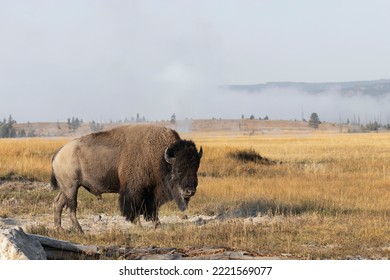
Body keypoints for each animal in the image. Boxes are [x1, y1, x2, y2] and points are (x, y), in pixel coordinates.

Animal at [50, 124, 203, 232]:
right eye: (178, 170)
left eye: (196, 168)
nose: (190, 191)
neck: (160, 158)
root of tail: (59, 152)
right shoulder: (135, 190)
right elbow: (135, 207)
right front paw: (139, 225)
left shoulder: (151, 192)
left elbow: (152, 209)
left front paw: (157, 225)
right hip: (71, 187)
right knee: (71, 208)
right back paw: (80, 230)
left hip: (67, 188)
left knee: (58, 203)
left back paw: (60, 228)